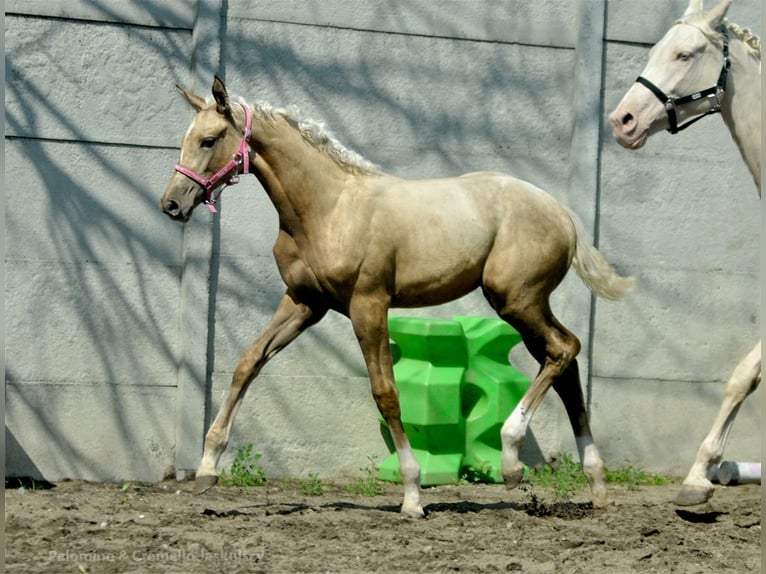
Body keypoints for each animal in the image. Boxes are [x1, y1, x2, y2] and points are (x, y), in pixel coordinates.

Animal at [162, 75, 636, 516]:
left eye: (209, 140)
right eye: (186, 138)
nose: (172, 203)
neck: (328, 208)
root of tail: (562, 213)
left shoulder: (367, 304)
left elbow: (385, 392)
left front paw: (412, 494)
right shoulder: (304, 302)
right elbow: (248, 362)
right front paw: (206, 469)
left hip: (517, 300)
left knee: (564, 349)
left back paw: (512, 460)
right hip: (525, 305)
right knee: (565, 362)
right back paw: (596, 483)